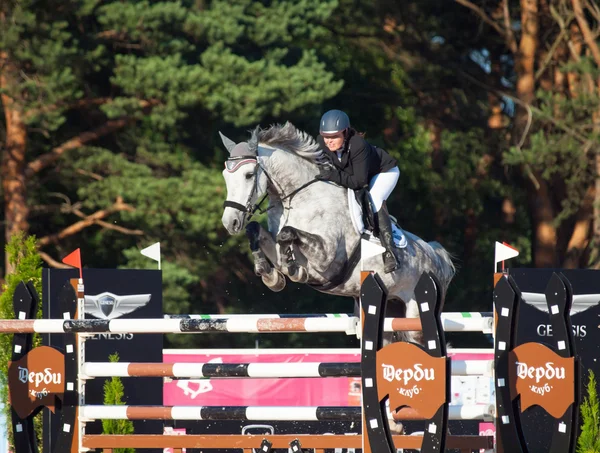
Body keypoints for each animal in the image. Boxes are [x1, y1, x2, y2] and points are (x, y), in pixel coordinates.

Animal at [219, 122, 454, 344]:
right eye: (225, 176)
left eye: (249, 175)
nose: (230, 222)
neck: (299, 198)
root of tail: (437, 257)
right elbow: (255, 230)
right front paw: (270, 275)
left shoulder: (326, 258)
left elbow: (287, 233)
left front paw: (292, 268)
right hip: (389, 310)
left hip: (414, 318)